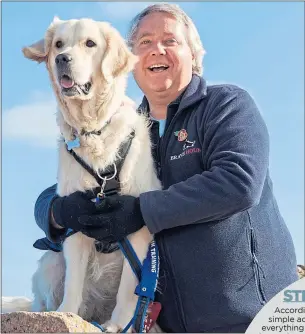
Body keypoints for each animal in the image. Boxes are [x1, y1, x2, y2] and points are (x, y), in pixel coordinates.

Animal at [1, 17, 162, 332]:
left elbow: (129, 289)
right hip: (51, 262)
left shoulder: (136, 230)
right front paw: (67, 314)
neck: (93, 130)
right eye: (58, 44)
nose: (62, 59)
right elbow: (73, 284)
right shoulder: (75, 221)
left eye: (90, 43)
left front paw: (119, 324)